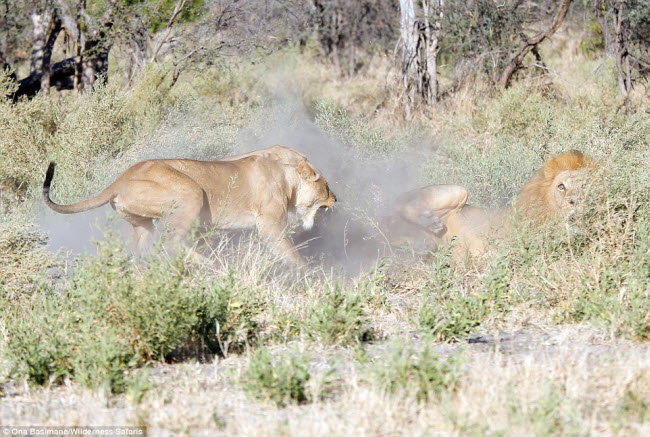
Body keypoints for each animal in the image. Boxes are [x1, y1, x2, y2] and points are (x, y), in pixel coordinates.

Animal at [41, 146, 334, 266]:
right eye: (327, 186)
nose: (336, 199)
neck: (287, 178)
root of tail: (119, 180)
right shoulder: (270, 225)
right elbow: (290, 253)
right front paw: (309, 274)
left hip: (143, 224)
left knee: (143, 250)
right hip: (191, 193)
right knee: (171, 243)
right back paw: (209, 265)